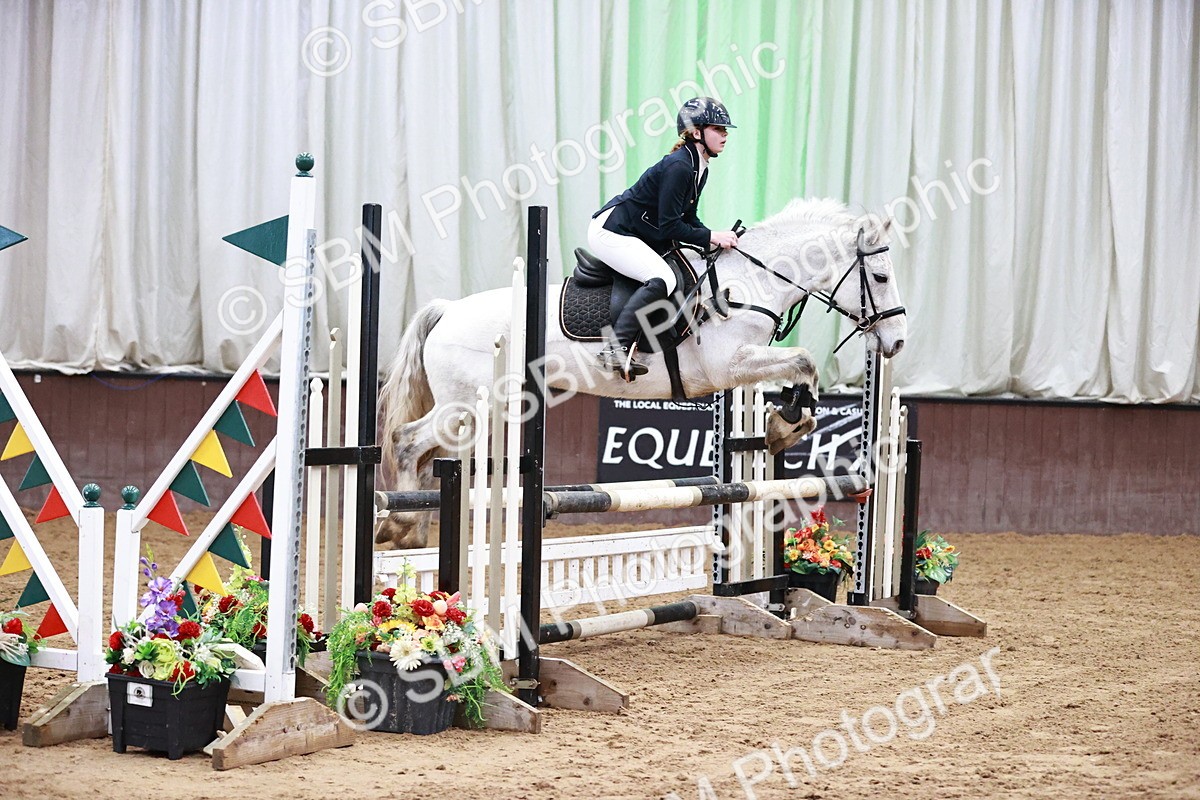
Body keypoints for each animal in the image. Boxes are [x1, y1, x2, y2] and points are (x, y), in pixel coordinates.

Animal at [374, 198, 907, 548]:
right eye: (881, 277)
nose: (897, 342)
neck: (751, 280)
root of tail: (447, 310)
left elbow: (802, 369)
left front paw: (785, 424)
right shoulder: (729, 365)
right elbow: (804, 361)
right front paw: (787, 423)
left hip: (478, 409)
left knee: (425, 454)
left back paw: (411, 531)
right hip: (468, 405)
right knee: (407, 442)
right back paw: (398, 526)